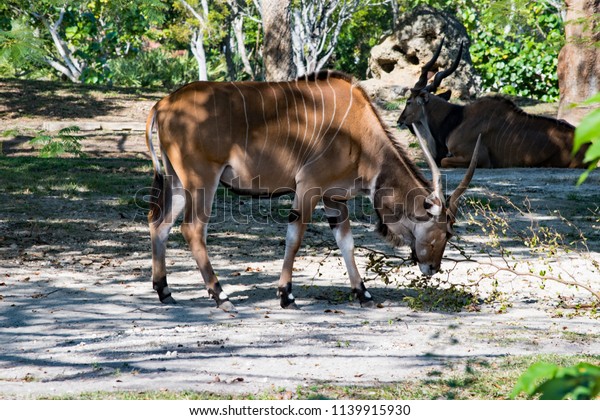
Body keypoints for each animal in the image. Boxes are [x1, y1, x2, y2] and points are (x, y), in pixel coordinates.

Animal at [144, 70, 478, 312]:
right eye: (445, 232)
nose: (432, 267)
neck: (359, 132)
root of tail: (164, 103)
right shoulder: (308, 188)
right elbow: (295, 238)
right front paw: (286, 295)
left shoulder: (334, 198)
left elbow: (346, 243)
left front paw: (363, 293)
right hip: (202, 180)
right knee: (192, 229)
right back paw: (221, 296)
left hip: (177, 181)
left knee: (160, 223)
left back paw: (164, 291)